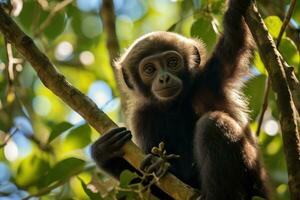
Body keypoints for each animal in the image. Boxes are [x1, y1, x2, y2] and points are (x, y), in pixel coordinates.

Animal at [91, 0, 270, 198]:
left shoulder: (211, 78)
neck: (175, 105)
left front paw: (236, 7)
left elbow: (234, 39)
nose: (164, 78)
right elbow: (152, 187)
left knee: (212, 124)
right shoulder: (142, 117)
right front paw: (104, 153)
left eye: (172, 62)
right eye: (149, 70)